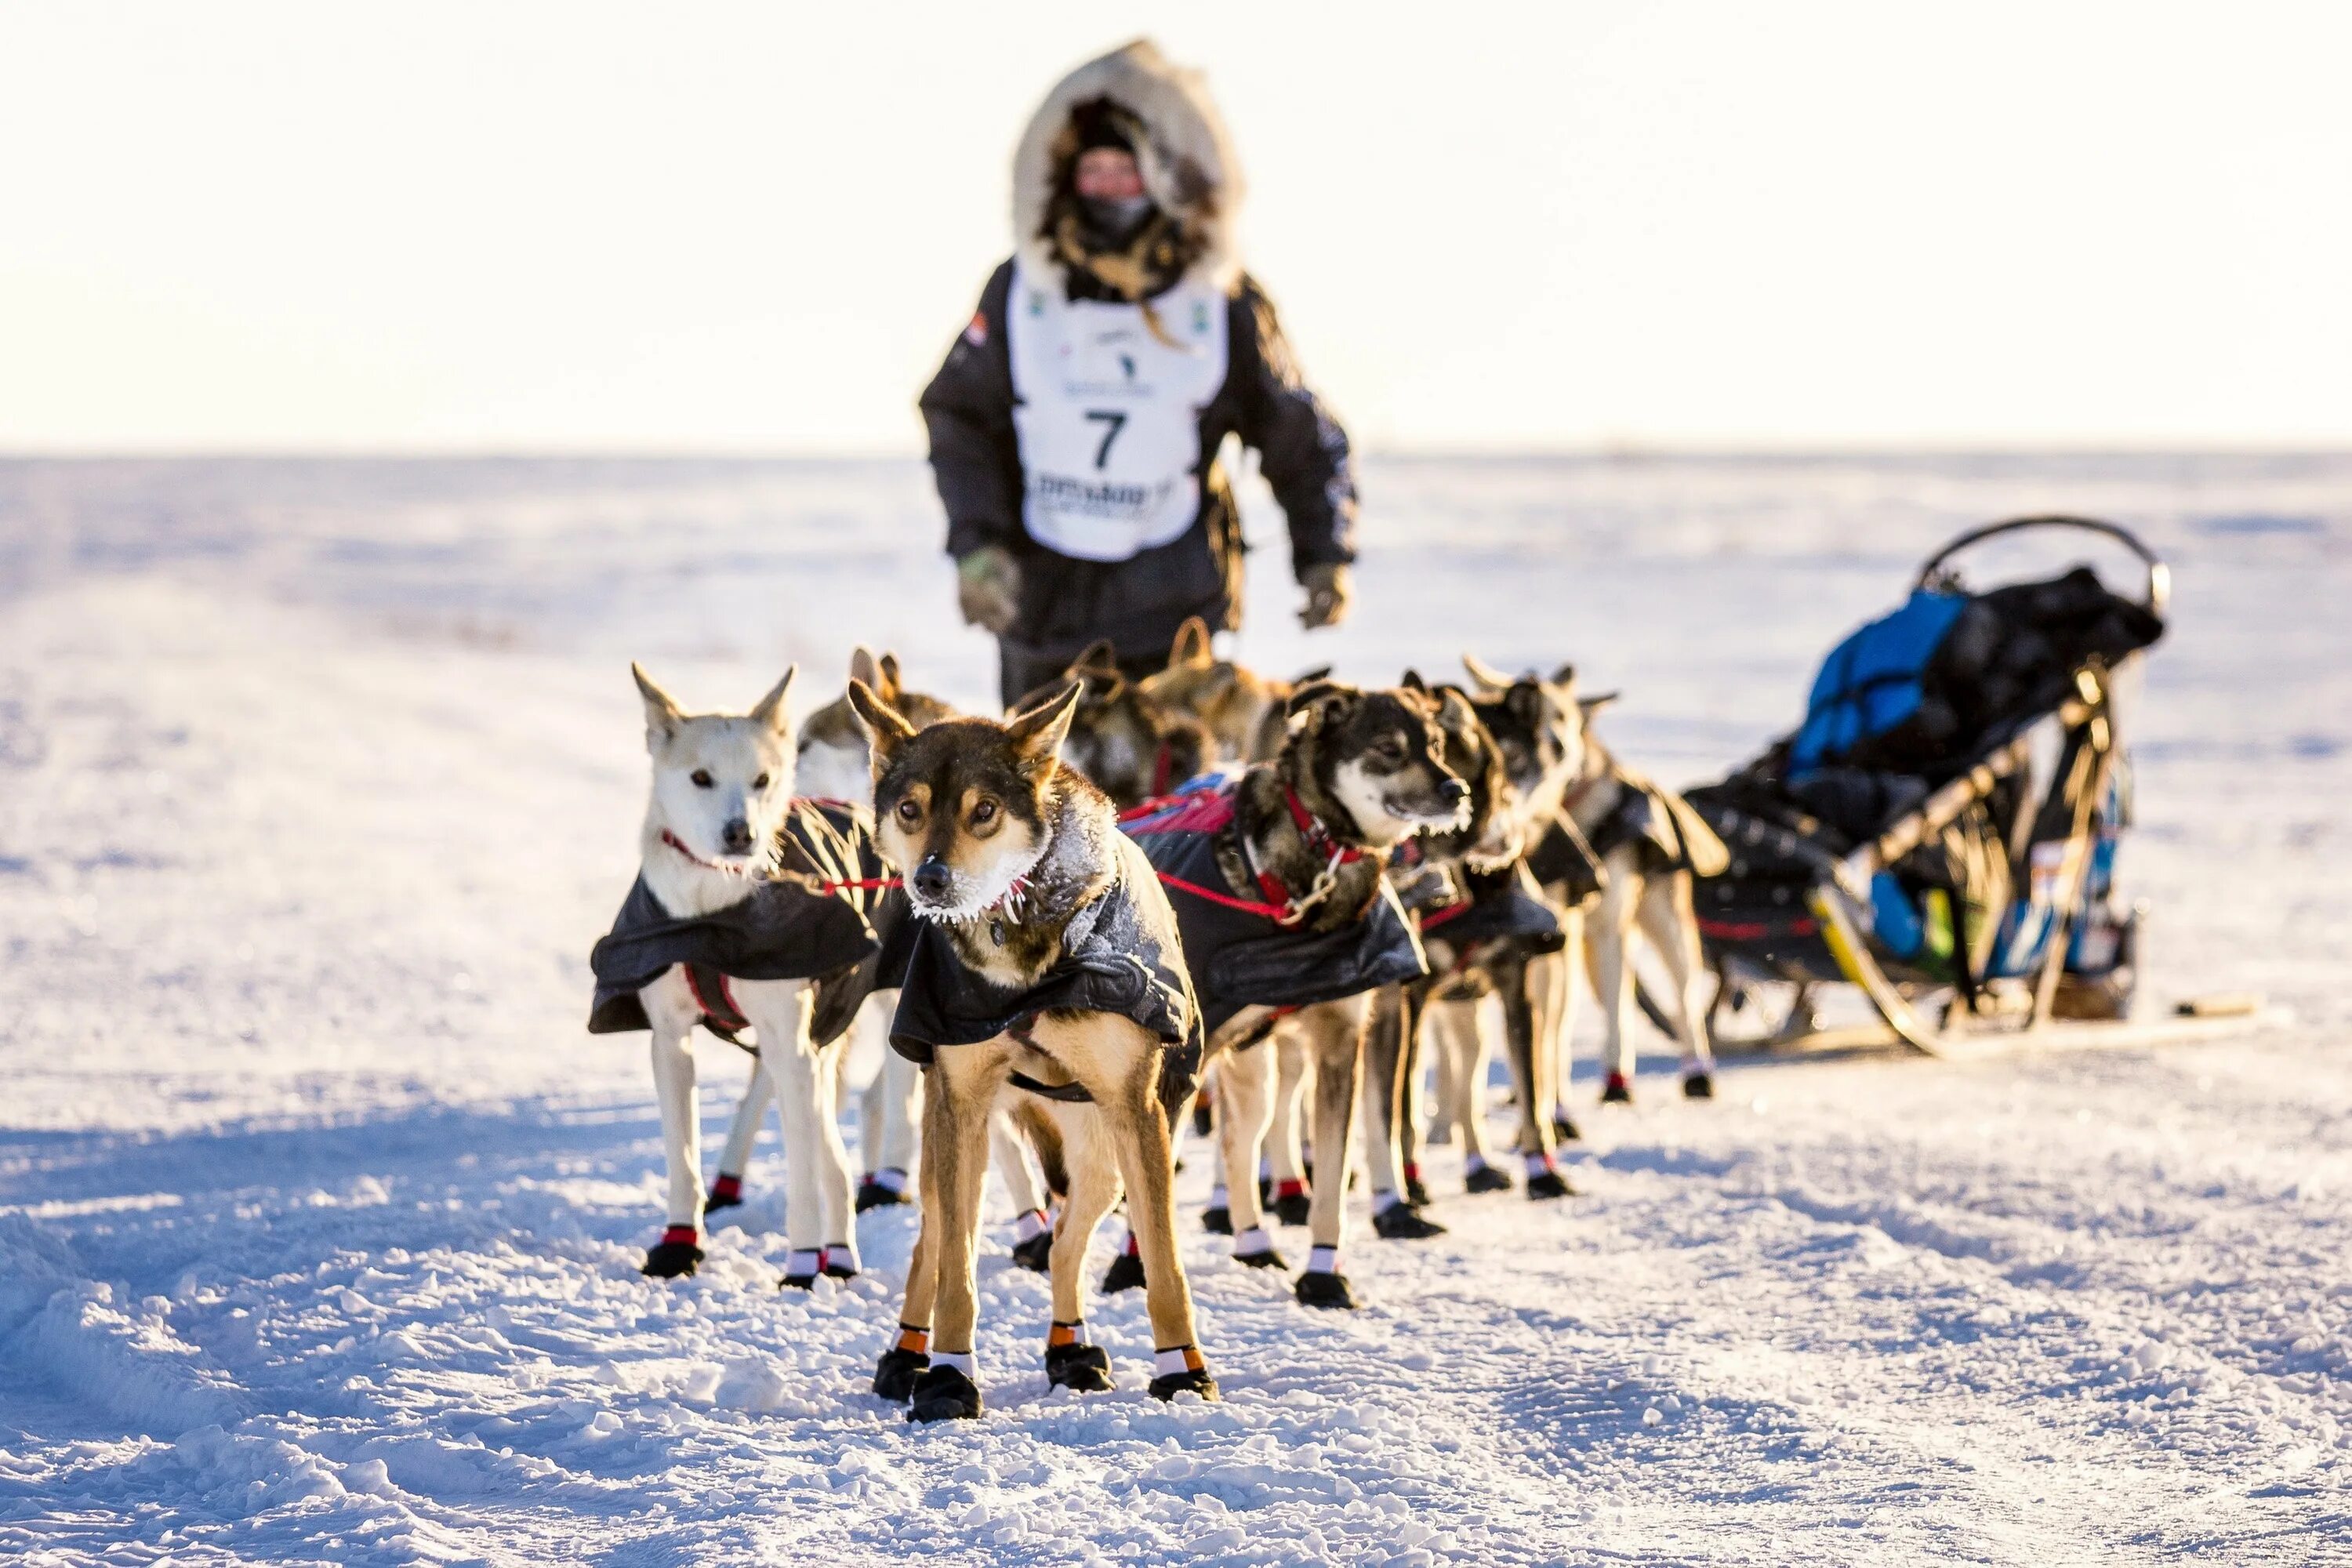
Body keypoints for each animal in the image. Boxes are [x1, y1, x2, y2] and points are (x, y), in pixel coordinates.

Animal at [851, 677, 1214, 1420]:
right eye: (909, 809)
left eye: (984, 810)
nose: (930, 878)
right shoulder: (961, 1106)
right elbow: (956, 1273)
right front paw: (949, 1376)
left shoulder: (1138, 1113)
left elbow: (1163, 1266)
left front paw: (1182, 1372)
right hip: (951, 1145)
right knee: (932, 1245)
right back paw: (906, 1355)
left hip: (1104, 1160)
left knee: (1064, 1247)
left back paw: (1071, 1349)